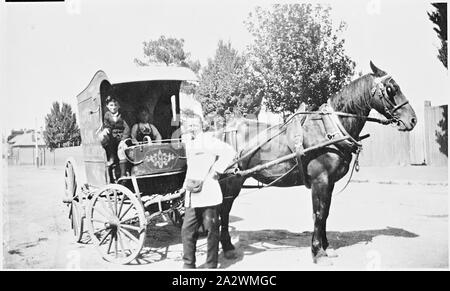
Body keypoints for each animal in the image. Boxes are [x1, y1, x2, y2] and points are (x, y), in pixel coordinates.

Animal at [216, 61, 416, 264]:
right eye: (391, 89)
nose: (412, 119)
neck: (329, 129)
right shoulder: (320, 180)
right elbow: (318, 214)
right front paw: (318, 252)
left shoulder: (330, 182)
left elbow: (325, 213)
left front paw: (326, 247)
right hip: (232, 180)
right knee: (224, 210)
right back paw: (228, 247)